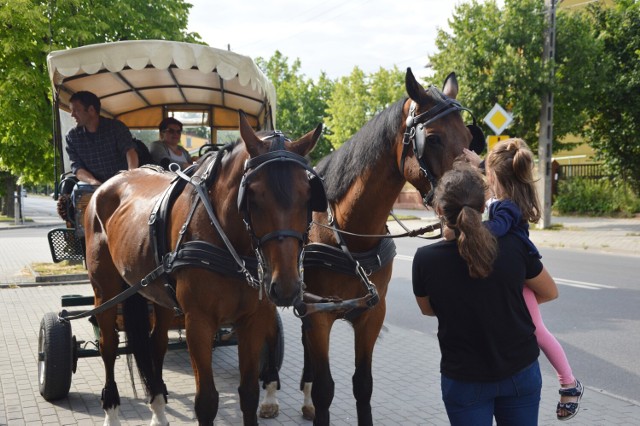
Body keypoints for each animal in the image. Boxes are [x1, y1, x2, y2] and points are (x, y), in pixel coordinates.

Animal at [84, 111, 324, 424]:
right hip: (106, 290)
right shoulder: (198, 322)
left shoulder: (252, 320)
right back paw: (112, 409)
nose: (285, 287)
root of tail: (112, 181)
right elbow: (207, 401)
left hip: (159, 292)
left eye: (309, 195)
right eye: (253, 194)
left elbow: (249, 392)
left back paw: (158, 407)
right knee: (109, 345)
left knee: (156, 343)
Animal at [296, 68, 484, 424]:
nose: (473, 202)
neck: (350, 237)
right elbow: (327, 389)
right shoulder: (319, 316)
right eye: (433, 138)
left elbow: (363, 385)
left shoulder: (372, 315)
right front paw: (317, 397)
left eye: (469, 139)